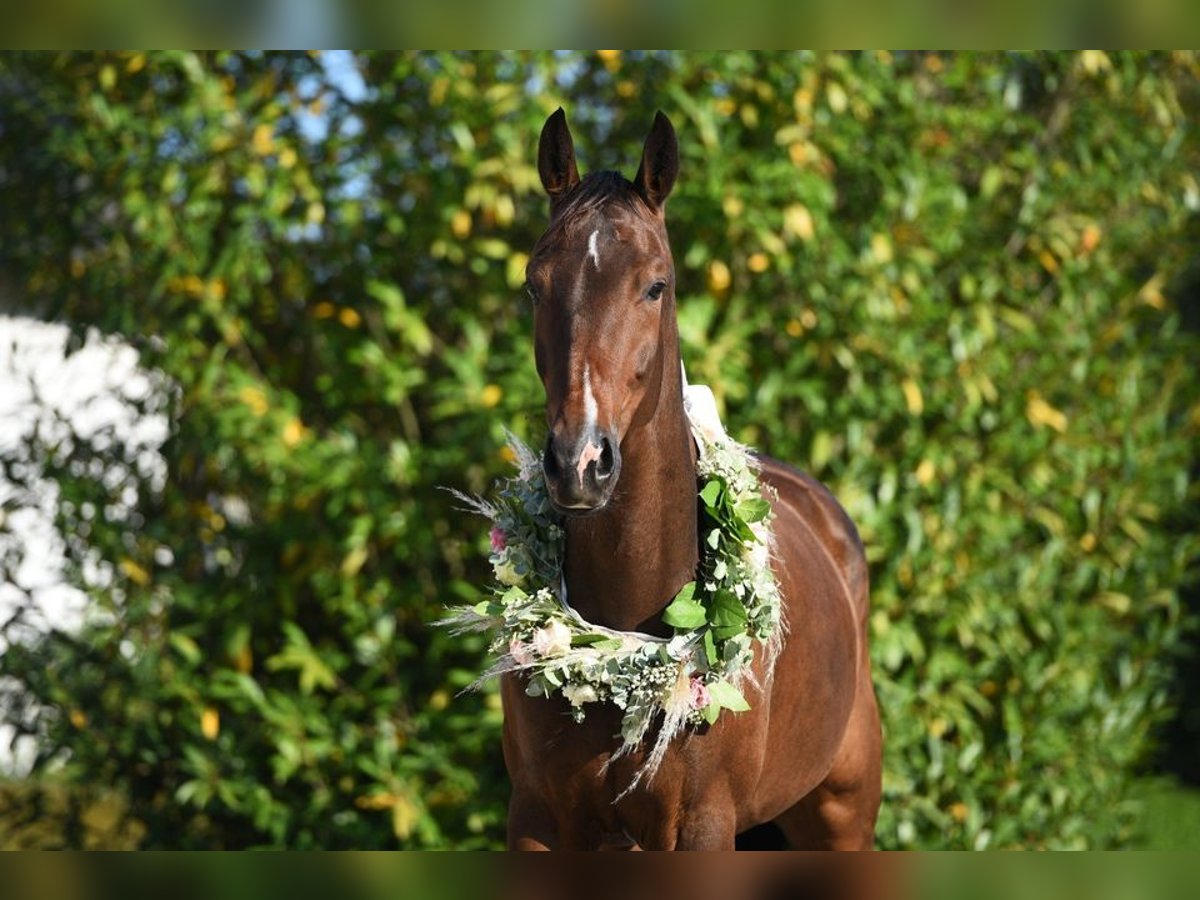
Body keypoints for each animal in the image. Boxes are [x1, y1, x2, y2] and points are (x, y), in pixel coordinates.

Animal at [496, 109, 883, 849]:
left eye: (656, 285)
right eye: (535, 284)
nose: (581, 462)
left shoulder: (701, 824)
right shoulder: (538, 819)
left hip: (841, 816)